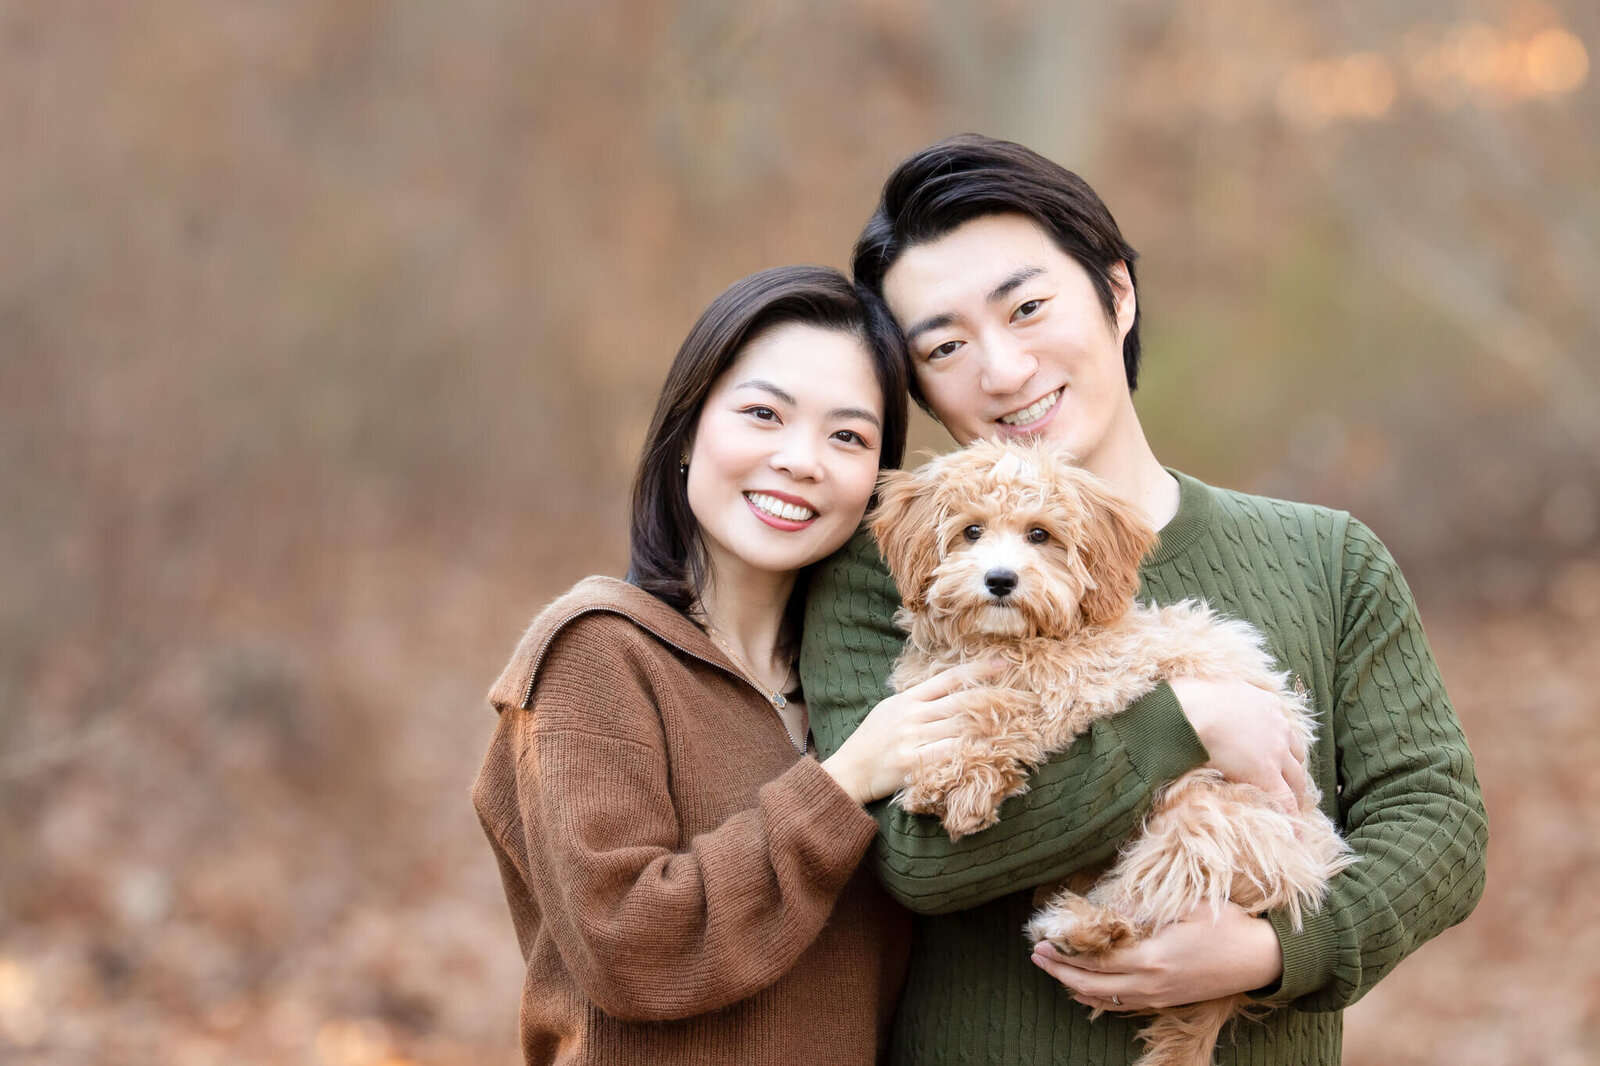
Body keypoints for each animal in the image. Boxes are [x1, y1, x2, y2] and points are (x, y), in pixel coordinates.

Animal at [870, 435, 1356, 1062]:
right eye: (971, 531)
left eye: (1040, 535)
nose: (1000, 580)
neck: (1008, 641)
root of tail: (1305, 873)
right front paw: (943, 773)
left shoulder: (1099, 677)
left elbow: (1009, 706)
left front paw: (960, 779)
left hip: (1207, 818)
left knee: (1155, 903)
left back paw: (1083, 926)